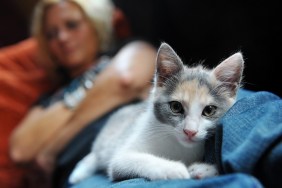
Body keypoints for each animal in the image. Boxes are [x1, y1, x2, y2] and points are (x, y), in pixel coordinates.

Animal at [69, 41, 245, 184]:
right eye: (176, 107)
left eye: (209, 110)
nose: (190, 132)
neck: (180, 147)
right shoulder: (121, 158)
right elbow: (133, 160)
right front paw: (174, 169)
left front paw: (204, 169)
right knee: (95, 154)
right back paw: (78, 173)